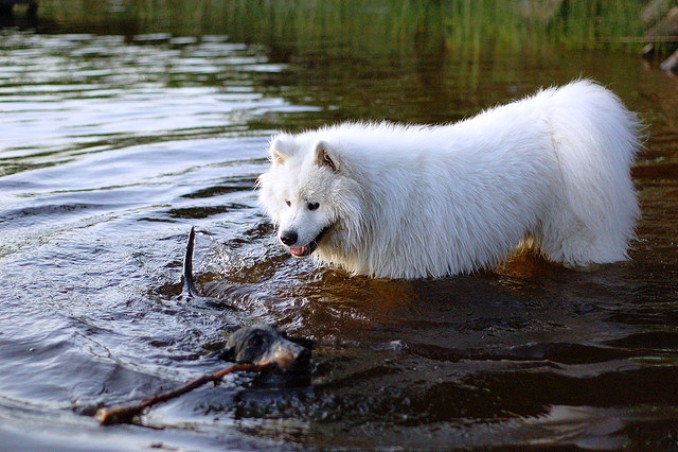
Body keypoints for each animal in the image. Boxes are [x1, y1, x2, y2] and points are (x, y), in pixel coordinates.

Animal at [258, 81, 644, 278]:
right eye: (288, 203)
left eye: (314, 204)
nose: (286, 237)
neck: (375, 200)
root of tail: (555, 117)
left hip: (575, 239)